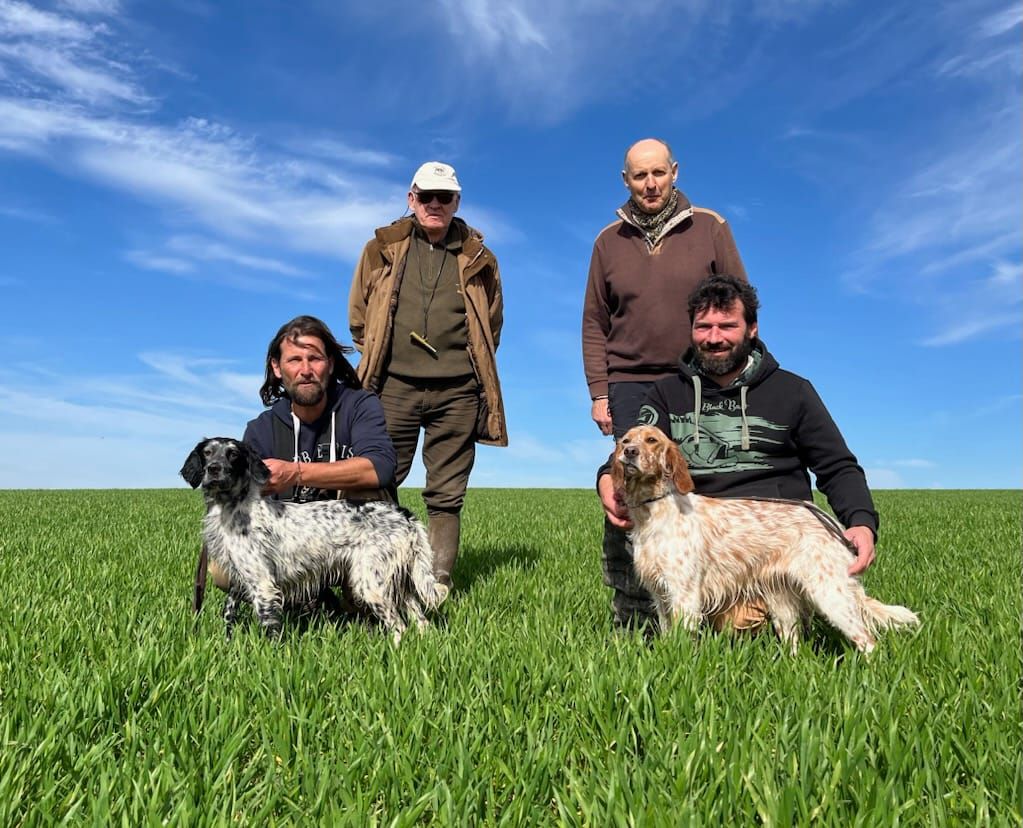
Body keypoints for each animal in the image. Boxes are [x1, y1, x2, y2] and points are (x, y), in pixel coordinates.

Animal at [179, 436, 448, 642]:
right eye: (207, 452)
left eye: (233, 454)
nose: (213, 469)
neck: (233, 507)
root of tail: (404, 515)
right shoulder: (240, 578)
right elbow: (229, 614)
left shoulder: (263, 584)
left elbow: (270, 629)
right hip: (400, 582)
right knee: (421, 621)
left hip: (371, 583)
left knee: (399, 626)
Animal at [609, 425, 924, 650]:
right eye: (625, 441)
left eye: (652, 440)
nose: (630, 452)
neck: (655, 509)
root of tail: (832, 526)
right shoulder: (660, 595)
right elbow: (666, 636)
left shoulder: (684, 595)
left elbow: (683, 643)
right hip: (783, 601)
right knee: (795, 644)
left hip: (830, 594)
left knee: (867, 641)